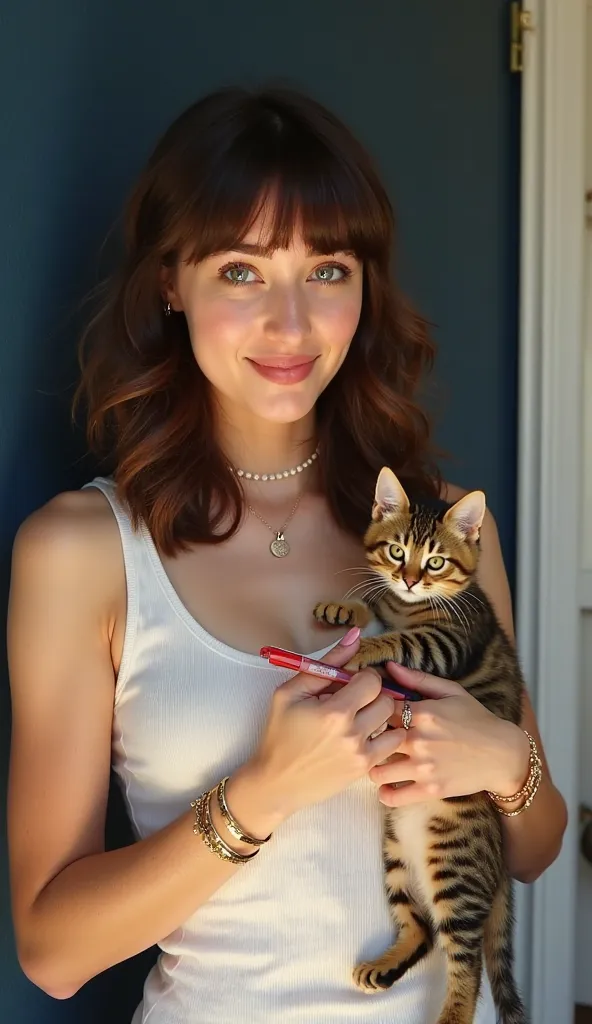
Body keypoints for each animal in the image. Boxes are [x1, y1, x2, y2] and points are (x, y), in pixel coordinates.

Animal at [313, 468, 524, 1024]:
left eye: (435, 562)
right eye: (395, 552)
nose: (409, 579)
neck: (410, 607)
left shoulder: (447, 641)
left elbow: (400, 642)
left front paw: (363, 649)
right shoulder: (390, 601)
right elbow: (374, 606)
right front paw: (344, 606)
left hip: (455, 865)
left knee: (466, 966)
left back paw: (451, 1013)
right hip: (394, 854)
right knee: (422, 928)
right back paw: (385, 965)